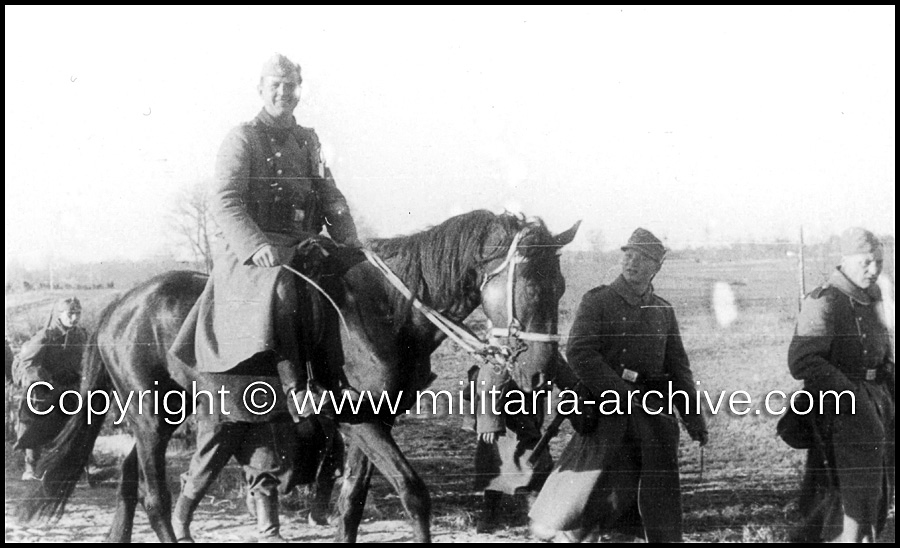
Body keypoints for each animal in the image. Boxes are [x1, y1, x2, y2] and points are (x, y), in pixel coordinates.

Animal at [22, 211, 584, 544]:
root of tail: (122, 302)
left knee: (132, 480)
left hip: (166, 413)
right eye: (527, 284)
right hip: (150, 415)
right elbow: (412, 491)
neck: (385, 309)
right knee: (157, 496)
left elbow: (351, 501)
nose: (541, 372)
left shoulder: (374, 423)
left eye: (560, 286)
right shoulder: (358, 420)